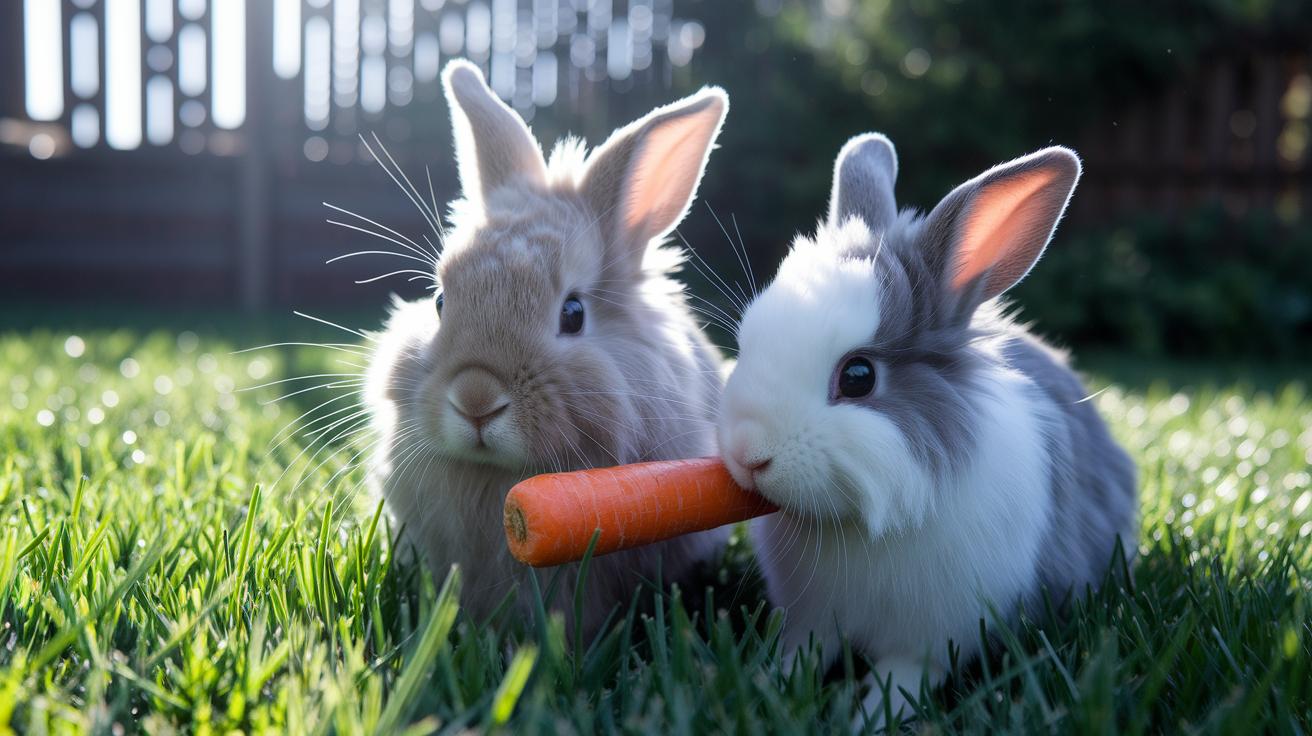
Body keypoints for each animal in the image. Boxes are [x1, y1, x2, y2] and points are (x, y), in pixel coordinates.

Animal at [717, 133, 1137, 726]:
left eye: (859, 377)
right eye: (748, 340)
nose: (747, 453)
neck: (858, 524)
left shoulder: (930, 642)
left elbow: (899, 682)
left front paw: (865, 722)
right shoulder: (810, 618)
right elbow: (799, 654)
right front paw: (766, 687)